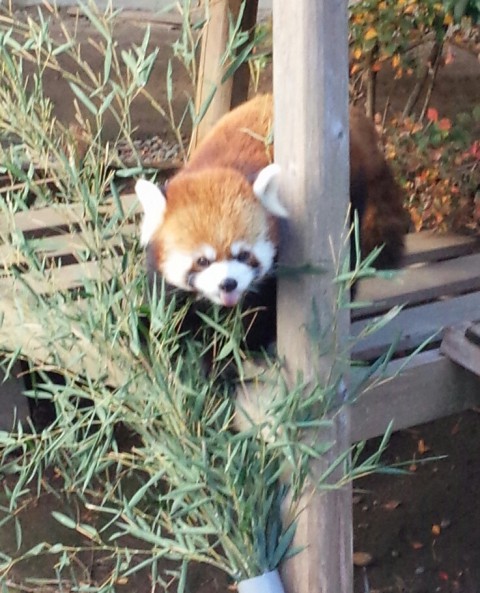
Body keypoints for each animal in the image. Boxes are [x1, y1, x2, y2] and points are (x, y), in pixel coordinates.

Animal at [137, 94, 406, 346]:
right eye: (202, 260)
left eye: (244, 255)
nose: (228, 284)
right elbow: (169, 305)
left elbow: (264, 306)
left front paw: (244, 343)